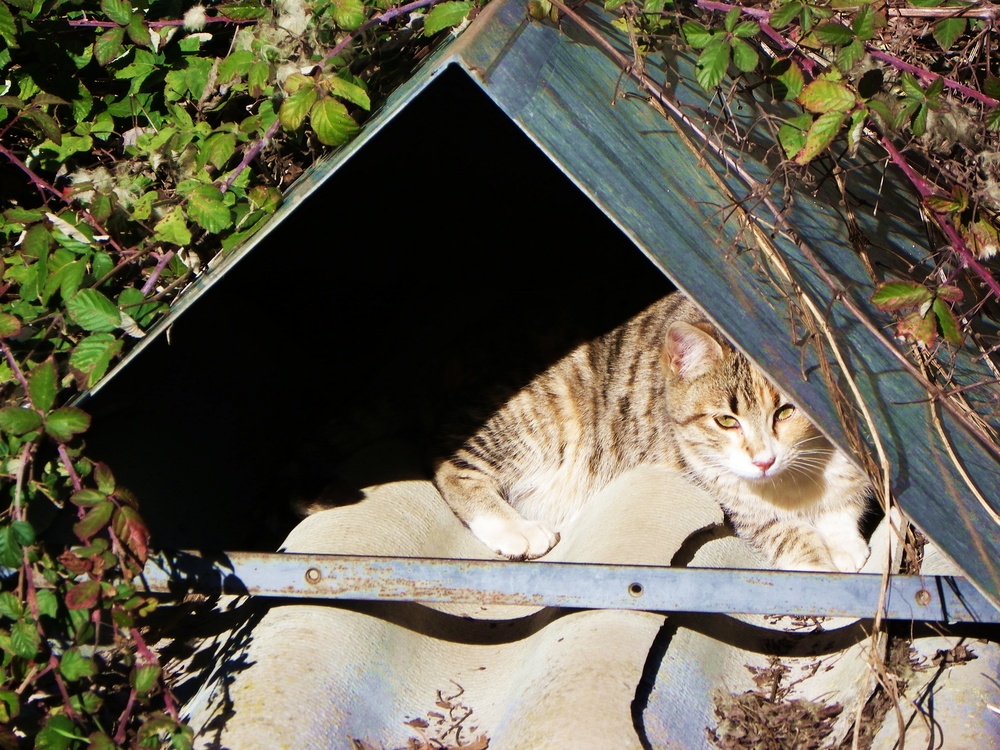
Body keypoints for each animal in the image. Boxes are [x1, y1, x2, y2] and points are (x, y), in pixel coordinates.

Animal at [434, 290, 872, 572]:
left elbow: (843, 506)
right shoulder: (728, 496)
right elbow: (784, 533)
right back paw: (515, 527)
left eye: (785, 411)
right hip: (543, 409)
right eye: (725, 421)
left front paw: (843, 541)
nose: (764, 460)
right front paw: (819, 562)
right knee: (452, 467)